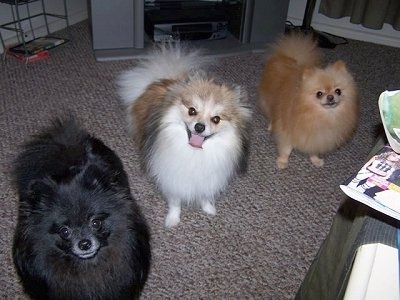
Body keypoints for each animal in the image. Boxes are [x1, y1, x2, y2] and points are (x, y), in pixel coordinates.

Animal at [117, 44, 252, 227]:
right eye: (192, 110)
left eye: (216, 119)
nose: (200, 126)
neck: (194, 153)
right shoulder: (173, 178)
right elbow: (175, 202)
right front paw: (172, 220)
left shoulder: (207, 179)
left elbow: (205, 196)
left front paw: (209, 209)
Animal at [258, 33, 360, 169]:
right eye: (319, 93)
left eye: (338, 91)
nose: (330, 97)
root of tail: (288, 57)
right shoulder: (288, 131)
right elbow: (286, 149)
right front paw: (282, 162)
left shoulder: (316, 137)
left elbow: (314, 150)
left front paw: (315, 160)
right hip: (268, 101)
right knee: (270, 114)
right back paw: (271, 126)